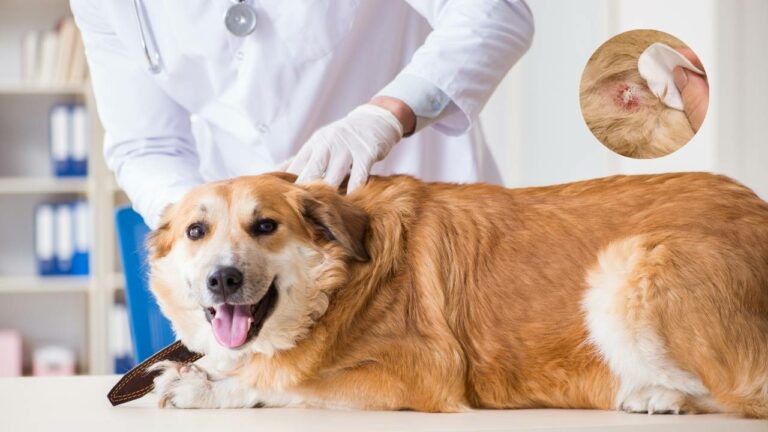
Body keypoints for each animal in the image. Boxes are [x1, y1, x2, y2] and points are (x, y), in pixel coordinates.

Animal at [146, 172, 768, 418]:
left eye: (266, 226)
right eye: (197, 231)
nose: (223, 279)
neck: (339, 286)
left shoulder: (423, 372)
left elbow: (286, 380)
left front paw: (204, 388)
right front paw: (204, 372)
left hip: (627, 265)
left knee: (743, 394)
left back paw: (660, 395)